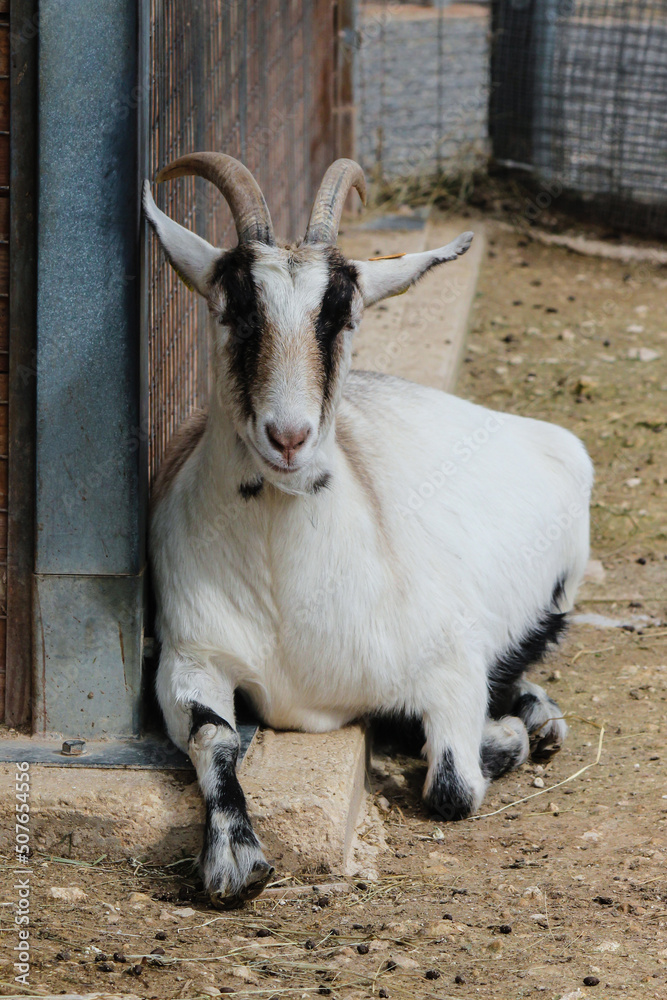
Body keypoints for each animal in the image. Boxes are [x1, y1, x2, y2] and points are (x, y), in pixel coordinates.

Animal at [143, 154, 593, 909]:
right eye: (234, 309)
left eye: (343, 316)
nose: (289, 437)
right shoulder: (189, 656)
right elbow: (214, 739)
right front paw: (235, 859)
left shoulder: (450, 662)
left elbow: (452, 785)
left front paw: (499, 739)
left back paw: (534, 719)